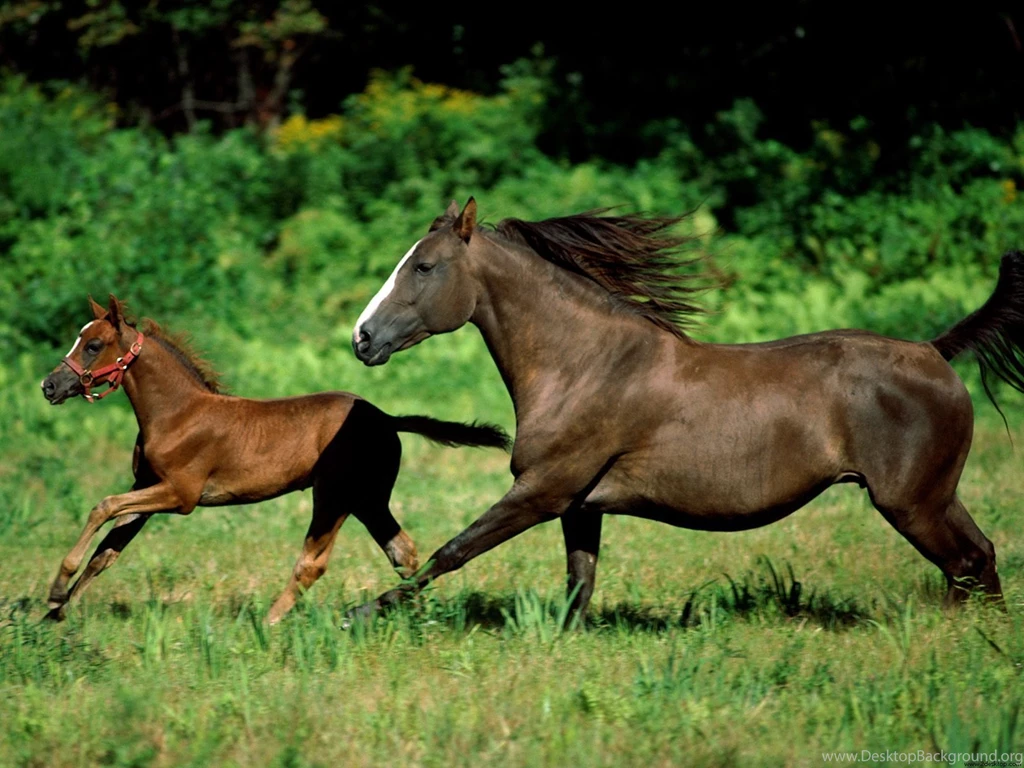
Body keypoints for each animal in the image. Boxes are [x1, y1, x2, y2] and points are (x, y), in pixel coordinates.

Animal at [40, 295, 510, 623]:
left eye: (93, 344)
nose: (49, 386)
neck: (177, 413)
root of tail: (385, 418)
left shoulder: (180, 494)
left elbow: (103, 507)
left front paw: (57, 589)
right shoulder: (147, 488)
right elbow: (107, 552)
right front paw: (55, 613)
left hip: (335, 495)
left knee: (314, 563)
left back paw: (267, 623)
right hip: (368, 499)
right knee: (405, 553)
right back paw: (412, 615)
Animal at [349, 198, 1024, 620]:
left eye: (424, 266)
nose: (361, 338)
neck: (586, 364)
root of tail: (936, 351)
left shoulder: (543, 490)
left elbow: (452, 551)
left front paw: (357, 611)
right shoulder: (579, 505)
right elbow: (578, 588)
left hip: (913, 502)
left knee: (968, 563)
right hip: (933, 498)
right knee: (979, 560)